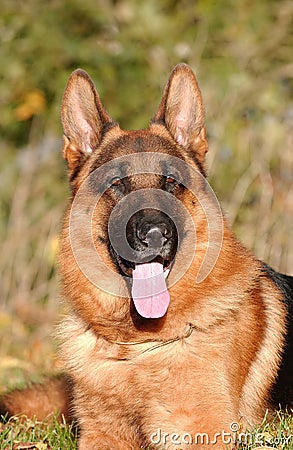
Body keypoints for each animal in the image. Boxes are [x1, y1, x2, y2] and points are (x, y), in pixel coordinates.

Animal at [0, 64, 292, 450]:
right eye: (116, 184)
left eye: (171, 182)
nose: (154, 234)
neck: (134, 346)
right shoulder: (101, 434)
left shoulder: (204, 431)